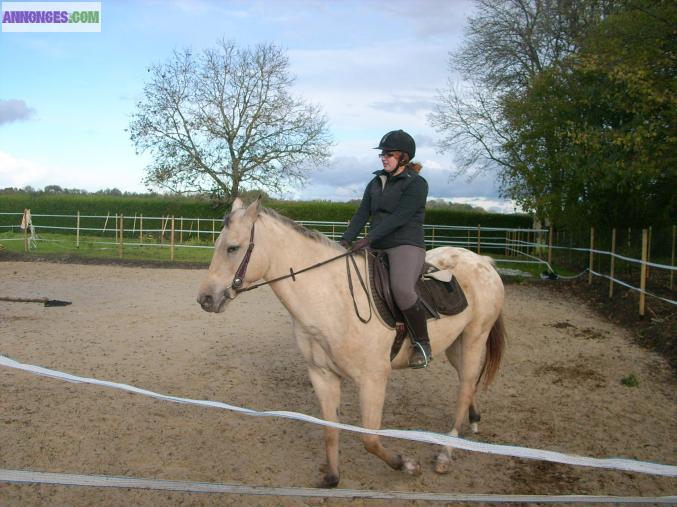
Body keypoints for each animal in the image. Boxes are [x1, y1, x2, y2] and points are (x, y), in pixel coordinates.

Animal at [197, 197, 506, 488]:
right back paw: (473, 421)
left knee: (464, 388)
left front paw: (407, 465)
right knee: (468, 383)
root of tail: (482, 261)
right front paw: (332, 478)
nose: (205, 299)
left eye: (233, 248)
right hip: (456, 346)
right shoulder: (322, 375)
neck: (335, 299)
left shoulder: (373, 380)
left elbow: (370, 439)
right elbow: (330, 430)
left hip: (474, 339)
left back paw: (446, 452)